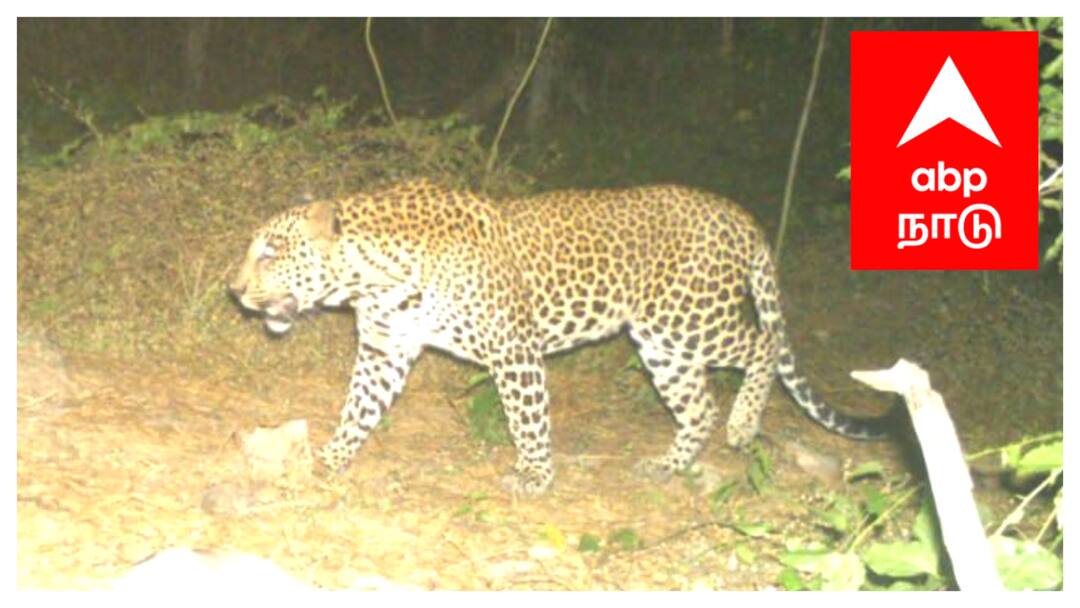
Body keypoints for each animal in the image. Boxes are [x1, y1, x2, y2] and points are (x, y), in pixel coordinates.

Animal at [228, 179, 887, 494]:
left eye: (270, 251)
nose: (233, 290)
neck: (372, 276)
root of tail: (736, 213)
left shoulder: (512, 350)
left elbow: (527, 418)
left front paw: (535, 476)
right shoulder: (385, 350)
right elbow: (357, 409)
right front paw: (329, 459)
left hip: (689, 319)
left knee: (763, 347)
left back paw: (745, 424)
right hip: (661, 344)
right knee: (697, 403)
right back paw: (669, 465)